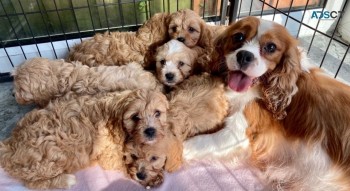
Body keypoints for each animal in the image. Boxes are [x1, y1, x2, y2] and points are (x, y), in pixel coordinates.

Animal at [0, 89, 170, 190]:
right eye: (135, 117)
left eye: (157, 113)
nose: (150, 131)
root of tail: (8, 146)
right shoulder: (110, 153)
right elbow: (125, 165)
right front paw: (149, 178)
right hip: (51, 158)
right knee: (34, 183)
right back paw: (66, 180)